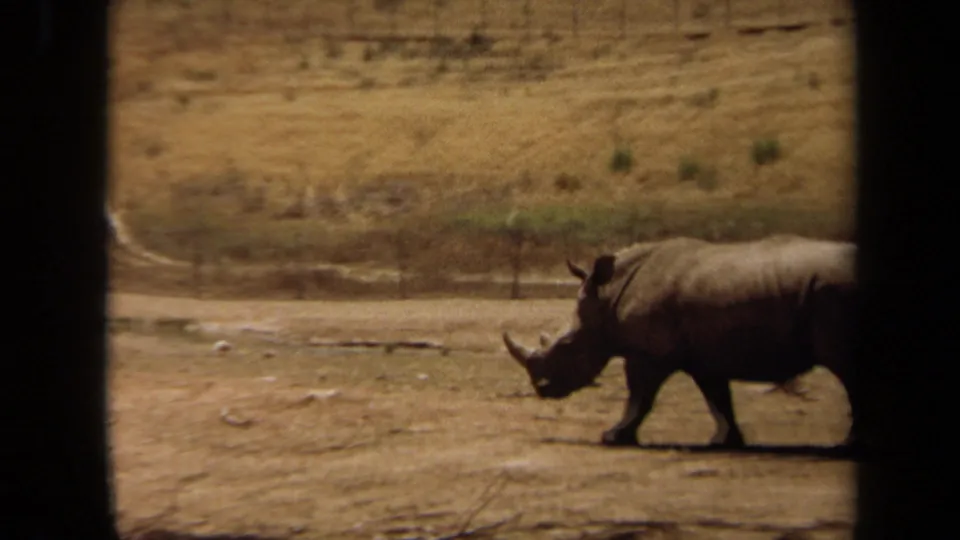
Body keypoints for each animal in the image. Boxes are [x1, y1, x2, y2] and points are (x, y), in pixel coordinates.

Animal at [502, 235, 858, 449]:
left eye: (566, 346)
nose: (542, 389)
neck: (607, 296)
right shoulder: (705, 355)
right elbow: (717, 399)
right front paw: (723, 441)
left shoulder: (648, 353)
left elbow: (639, 396)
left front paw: (612, 436)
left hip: (834, 291)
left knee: (847, 370)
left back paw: (846, 447)